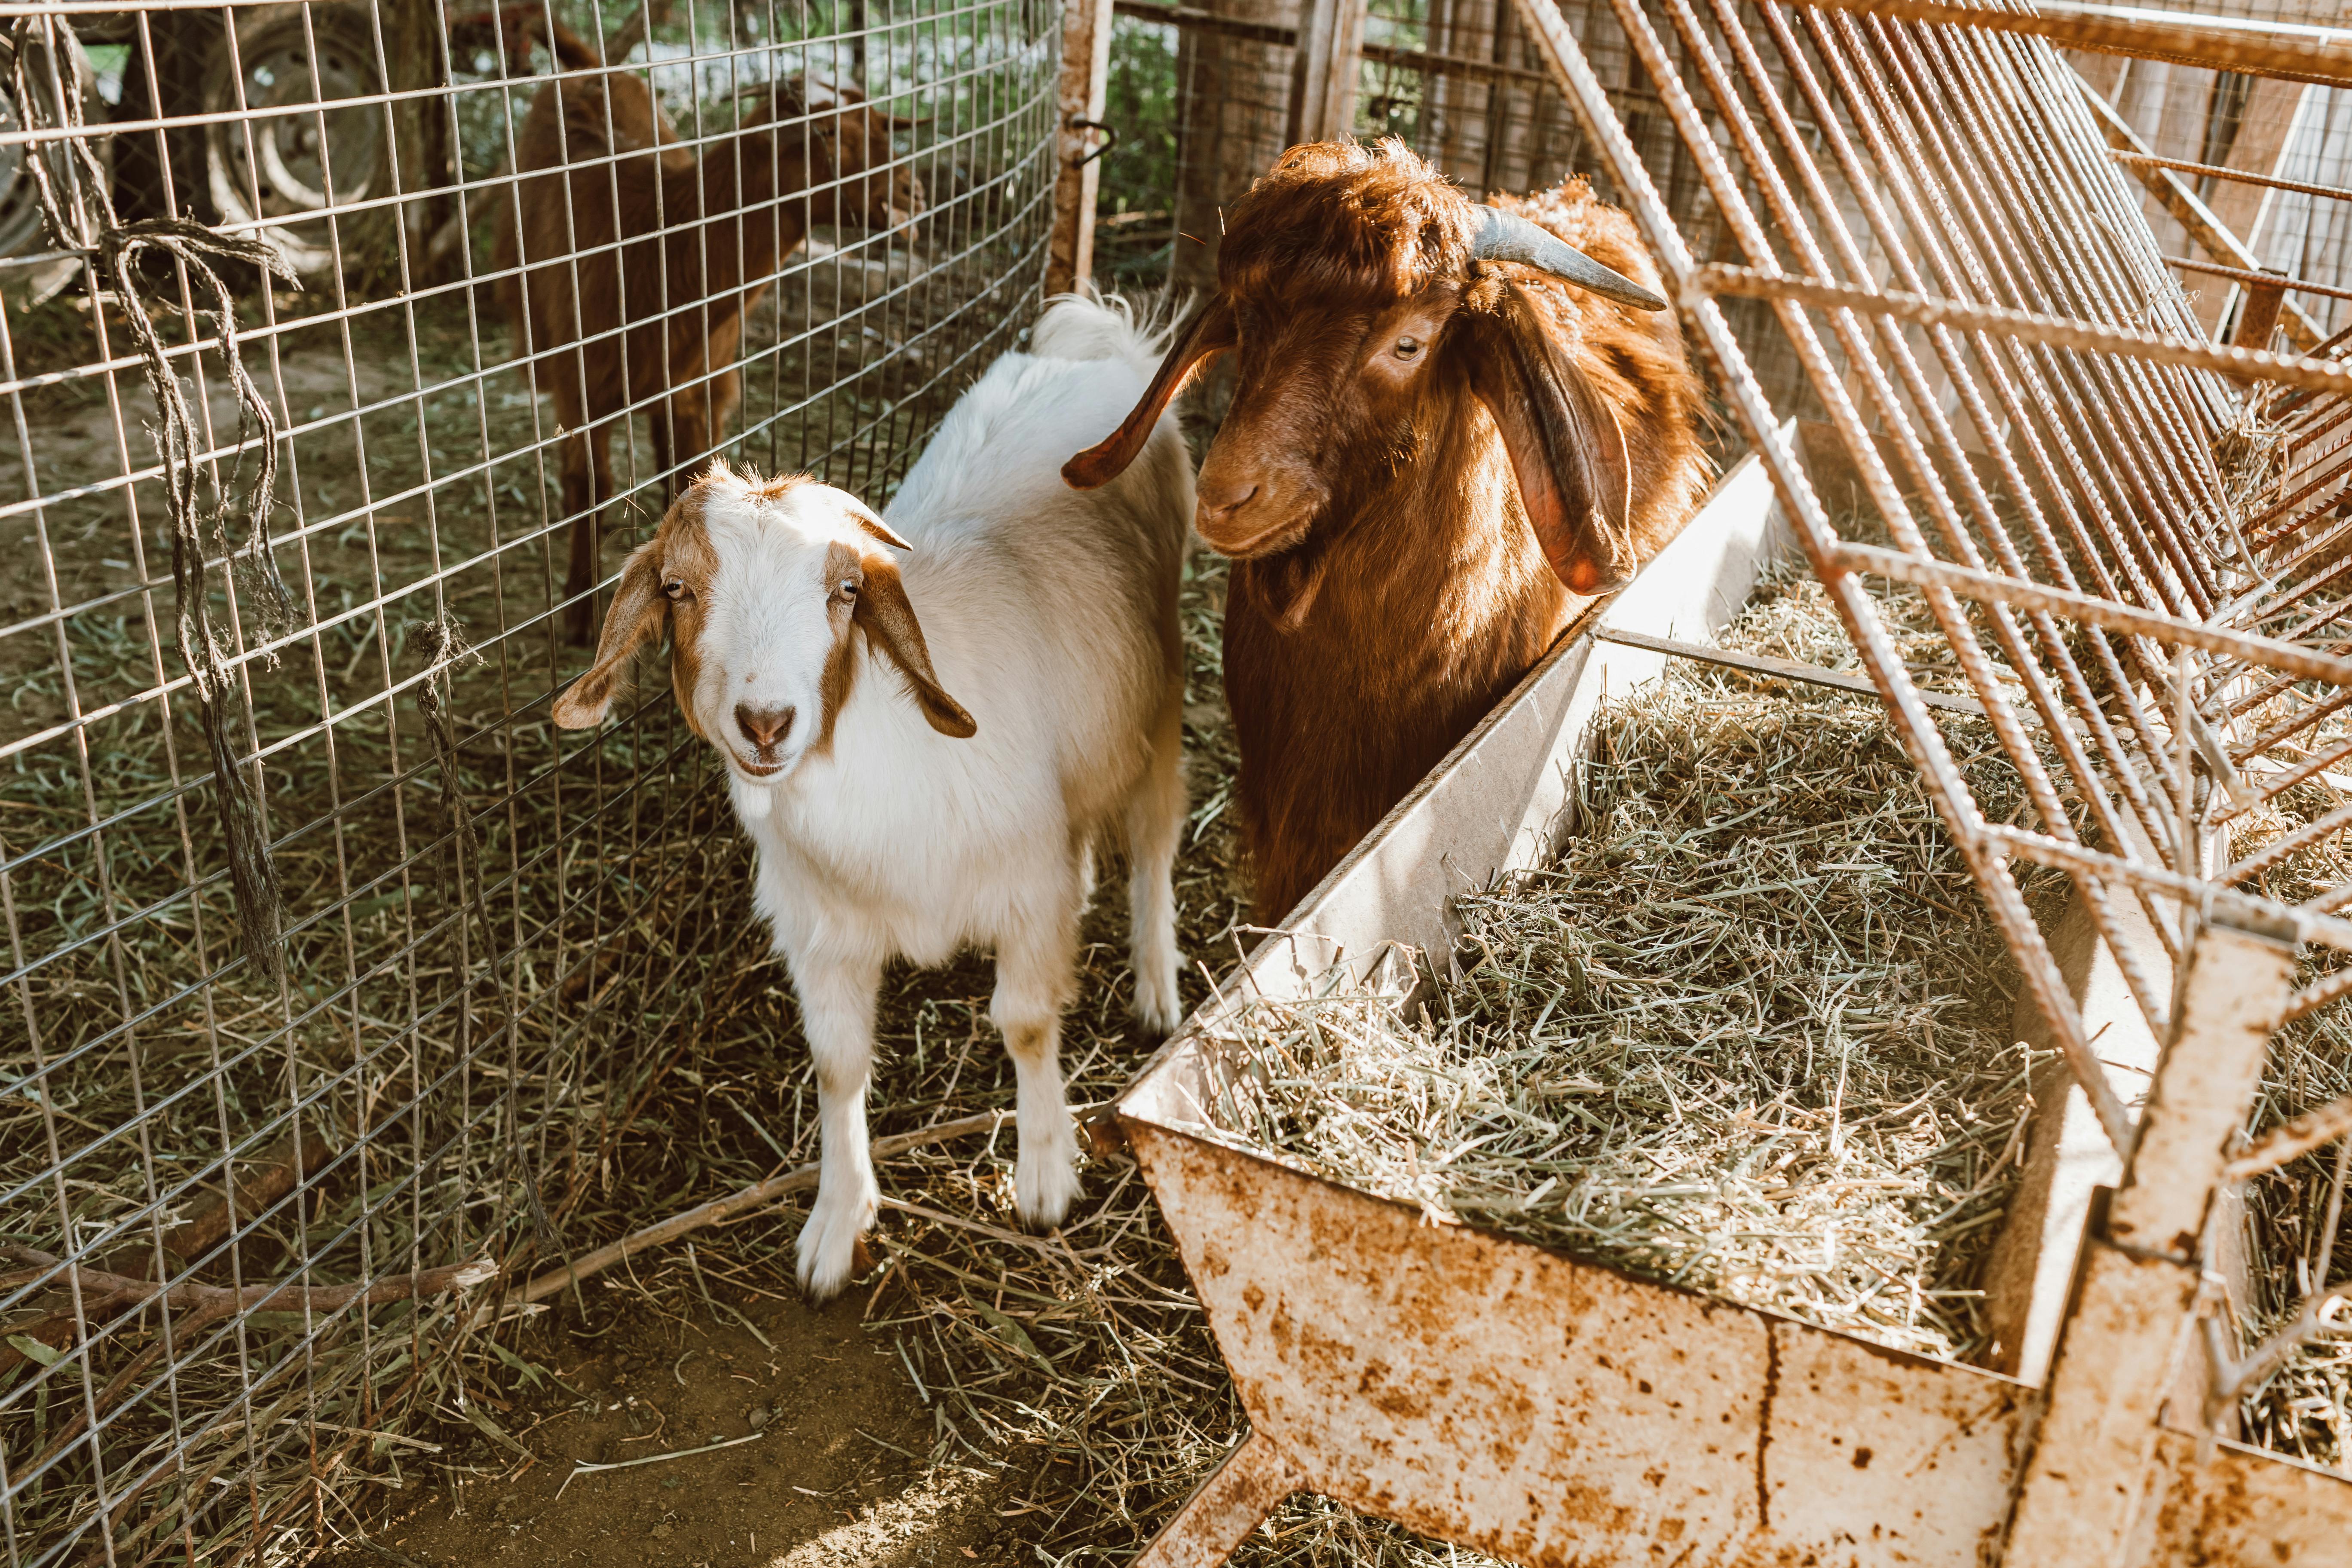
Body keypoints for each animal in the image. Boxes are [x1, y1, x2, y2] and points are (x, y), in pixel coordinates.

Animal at [501, 41, 922, 644]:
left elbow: (695, 478)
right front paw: (580, 616)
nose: (913, 192)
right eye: (826, 132)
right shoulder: (581, 387)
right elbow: (589, 486)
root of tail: (586, 68)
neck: (656, 246)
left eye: (882, 126)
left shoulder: (701, 381)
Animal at [550, 294, 1194, 1298]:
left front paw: (1044, 1174)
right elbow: (838, 1062)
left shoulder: (1027, 890)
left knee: (1158, 834)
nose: (765, 722)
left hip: (1158, 693)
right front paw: (836, 1220)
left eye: (847, 591)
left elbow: (1025, 1022)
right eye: (677, 589)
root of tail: (1095, 341)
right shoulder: (821, 928)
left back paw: (1158, 986)